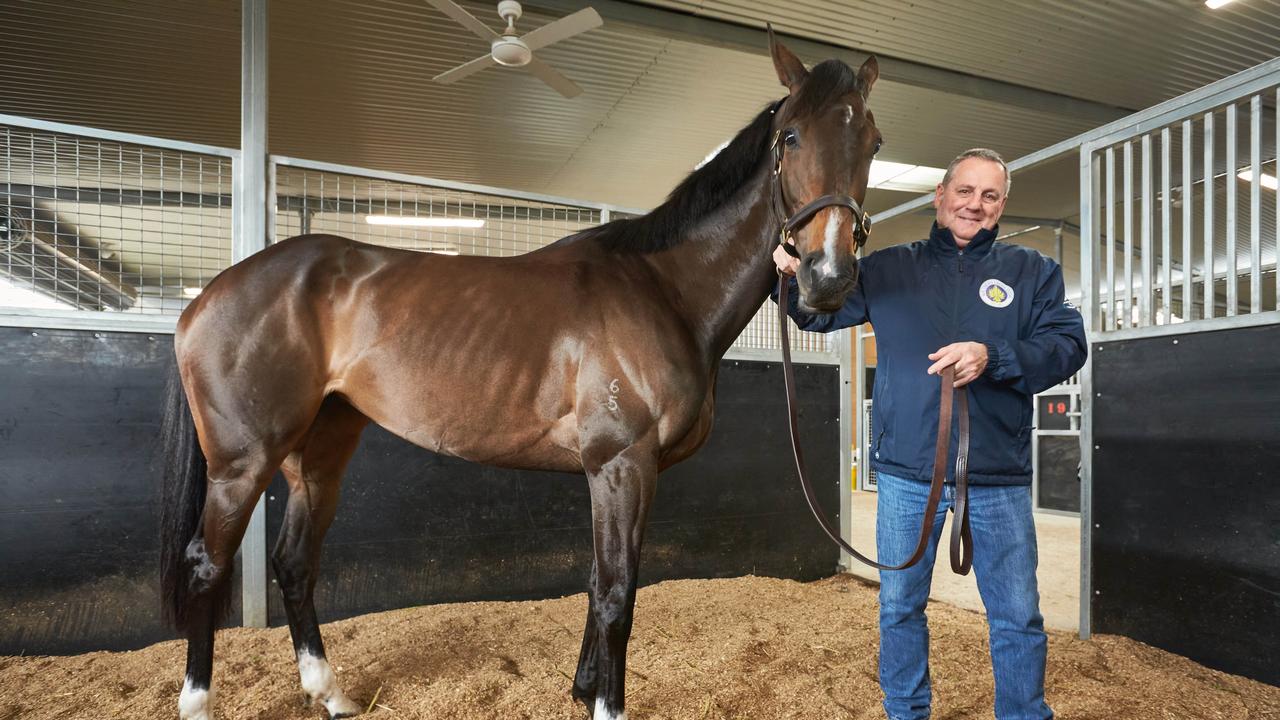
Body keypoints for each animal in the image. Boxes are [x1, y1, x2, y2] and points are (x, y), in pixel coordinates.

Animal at [160, 32, 880, 717]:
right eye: (790, 136)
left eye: (872, 142)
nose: (828, 277)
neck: (663, 289)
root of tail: (208, 296)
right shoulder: (622, 464)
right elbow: (618, 591)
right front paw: (606, 705)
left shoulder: (611, 472)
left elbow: (596, 581)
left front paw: (582, 689)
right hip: (243, 461)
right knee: (207, 564)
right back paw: (199, 703)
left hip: (321, 453)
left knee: (293, 562)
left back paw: (330, 694)